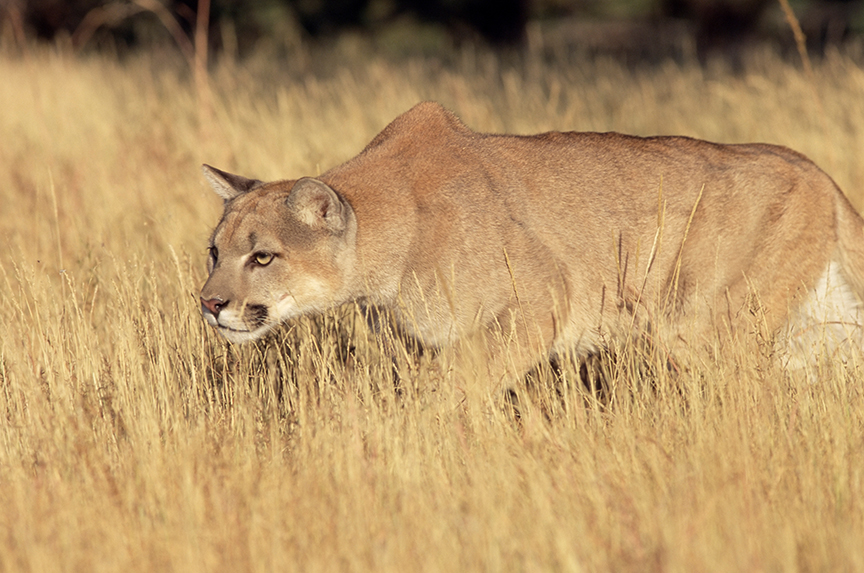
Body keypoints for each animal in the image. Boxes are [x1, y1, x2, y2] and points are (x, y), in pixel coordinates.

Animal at [199, 101, 864, 385]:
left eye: (263, 256)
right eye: (215, 252)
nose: (209, 303)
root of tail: (815, 170)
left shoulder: (543, 298)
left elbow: (455, 384)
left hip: (700, 326)